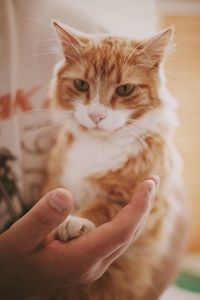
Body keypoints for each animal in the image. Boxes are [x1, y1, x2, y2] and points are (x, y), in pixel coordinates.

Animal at [42, 21, 189, 300]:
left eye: (125, 89)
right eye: (81, 84)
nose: (96, 116)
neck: (100, 145)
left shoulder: (139, 201)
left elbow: (101, 207)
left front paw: (77, 220)